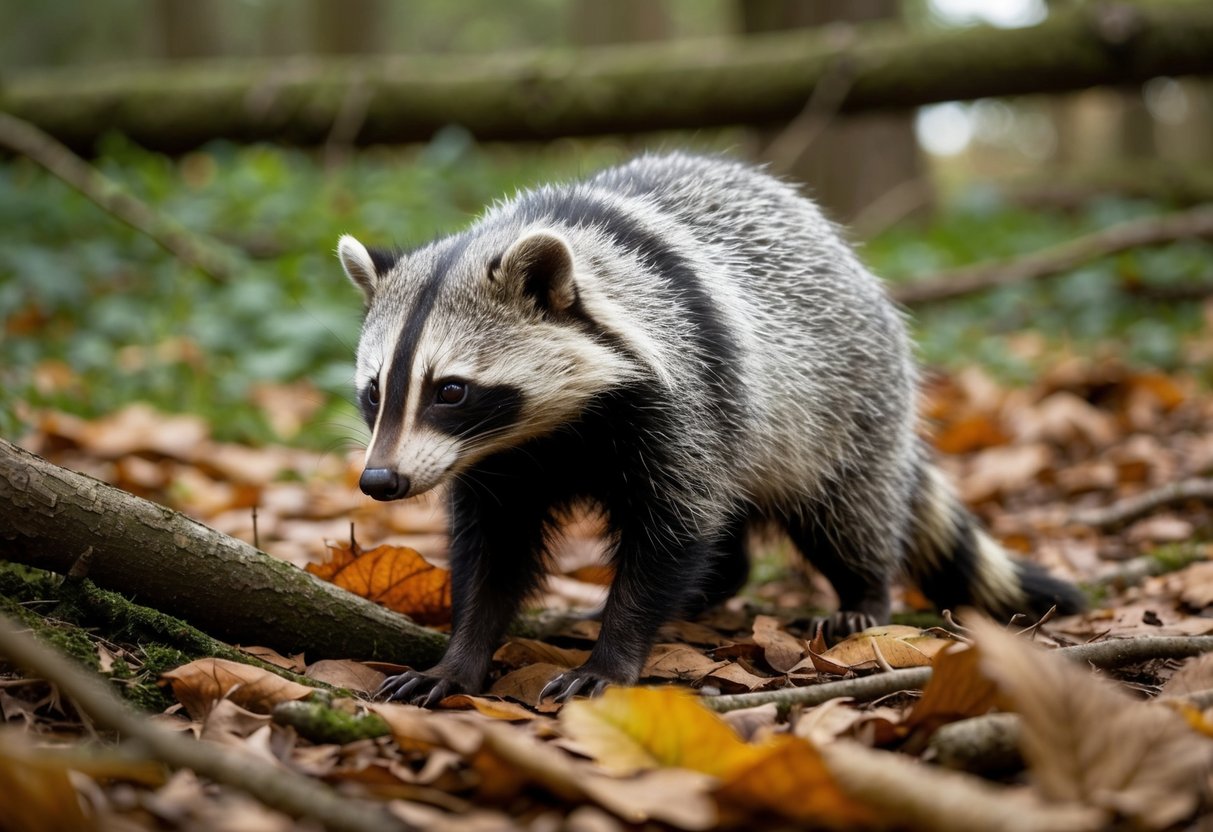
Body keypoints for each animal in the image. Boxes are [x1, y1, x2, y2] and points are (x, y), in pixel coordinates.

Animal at [338, 152, 1083, 706]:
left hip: (848, 394)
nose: (380, 480)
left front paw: (613, 654)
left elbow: (673, 528)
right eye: (374, 392)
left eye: (450, 391)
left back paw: (862, 590)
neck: (548, 429)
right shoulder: (499, 464)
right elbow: (493, 552)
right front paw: (460, 656)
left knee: (846, 505)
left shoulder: (685, 394)